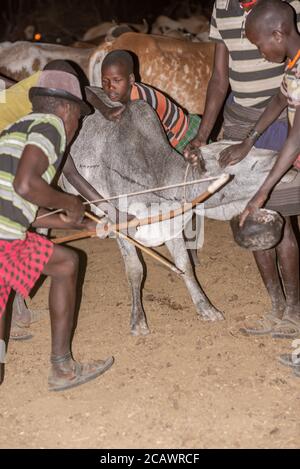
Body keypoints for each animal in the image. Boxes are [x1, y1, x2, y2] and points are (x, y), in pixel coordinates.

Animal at [60, 95, 286, 334]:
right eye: (241, 161)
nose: (280, 158)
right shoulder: (121, 224)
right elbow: (135, 270)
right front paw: (138, 320)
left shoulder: (172, 225)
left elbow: (185, 266)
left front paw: (206, 308)